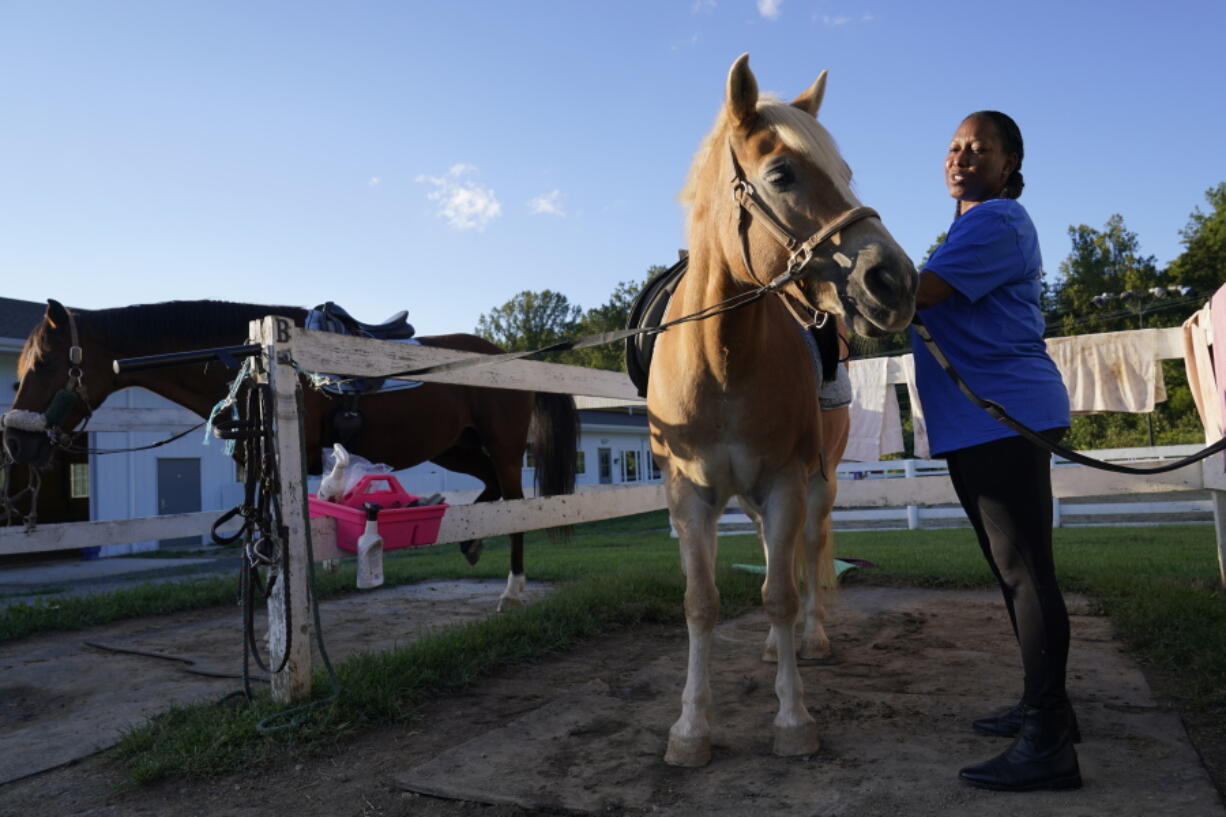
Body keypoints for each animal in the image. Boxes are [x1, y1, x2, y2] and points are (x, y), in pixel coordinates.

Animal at [2, 298, 576, 603]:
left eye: (46, 362)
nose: (15, 440)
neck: (252, 358)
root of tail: (511, 357)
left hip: (502, 446)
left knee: (516, 500)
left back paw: (512, 589)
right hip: (456, 447)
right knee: (490, 489)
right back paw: (473, 543)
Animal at [652, 57, 921, 765]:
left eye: (846, 171)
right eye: (782, 175)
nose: (895, 281)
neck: (721, 360)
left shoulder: (785, 485)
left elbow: (781, 592)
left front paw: (794, 718)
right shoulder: (690, 496)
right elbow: (702, 603)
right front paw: (691, 728)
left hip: (817, 485)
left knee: (807, 553)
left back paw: (809, 639)